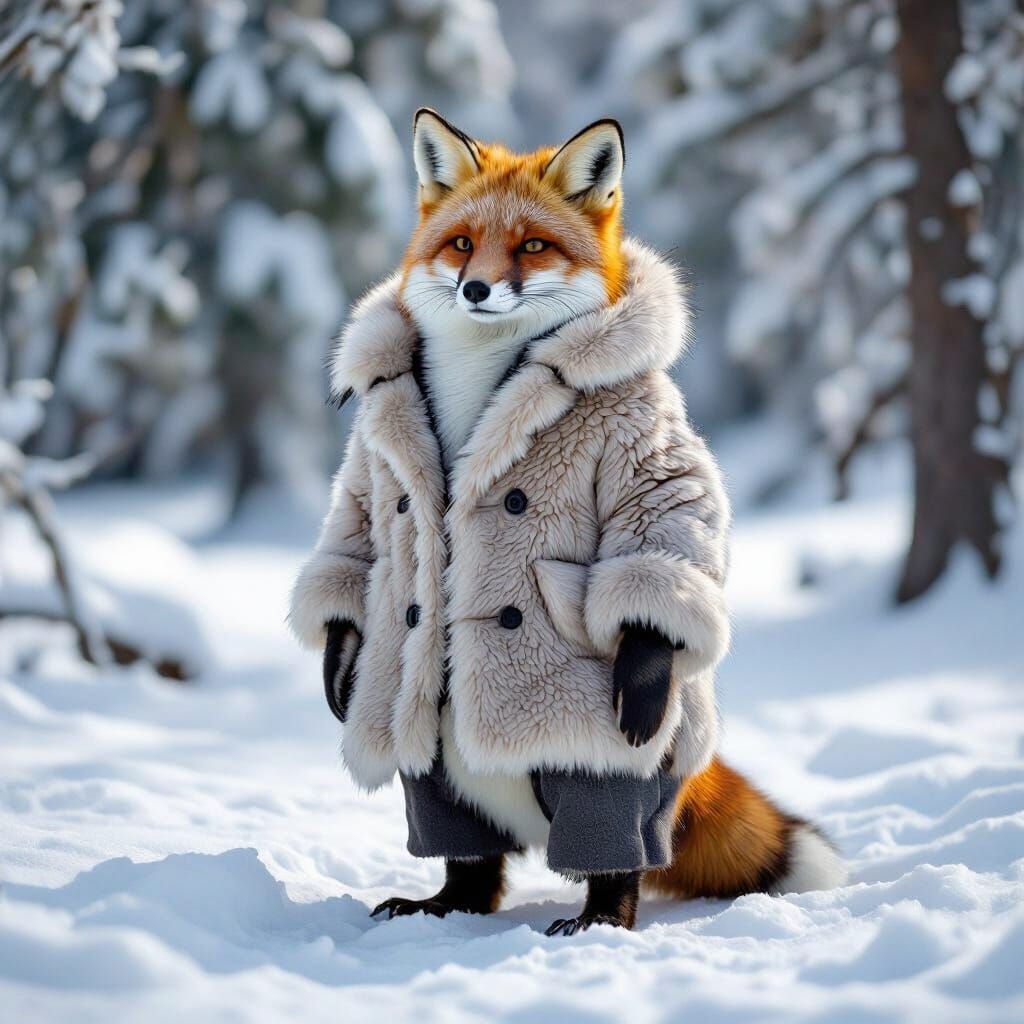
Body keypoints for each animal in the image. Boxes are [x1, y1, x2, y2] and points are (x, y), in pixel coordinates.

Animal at [303, 109, 846, 935]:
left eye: (531, 245)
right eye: (462, 243)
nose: (476, 288)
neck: (479, 383)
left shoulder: (644, 436)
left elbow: (664, 520)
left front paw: (645, 667)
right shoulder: (373, 462)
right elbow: (352, 535)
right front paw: (338, 654)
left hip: (600, 757)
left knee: (612, 840)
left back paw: (598, 919)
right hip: (428, 738)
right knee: (467, 851)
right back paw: (443, 906)